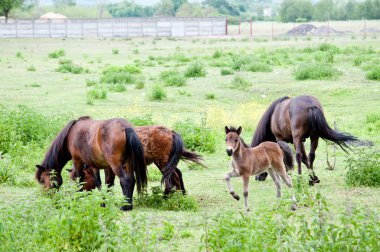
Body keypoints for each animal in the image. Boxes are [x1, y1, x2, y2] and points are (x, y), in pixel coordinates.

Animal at [68, 126, 205, 195]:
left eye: (81, 179)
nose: (77, 195)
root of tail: (170, 132)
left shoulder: (110, 168)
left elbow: (108, 183)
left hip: (162, 163)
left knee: (174, 177)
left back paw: (168, 197)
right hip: (167, 163)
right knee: (178, 174)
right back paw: (182, 194)